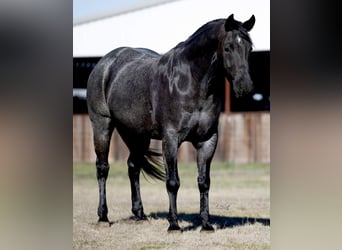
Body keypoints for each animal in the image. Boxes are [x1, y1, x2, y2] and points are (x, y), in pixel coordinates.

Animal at [87, 13, 255, 231]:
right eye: (228, 47)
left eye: (250, 48)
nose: (245, 87)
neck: (190, 82)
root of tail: (104, 63)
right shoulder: (171, 139)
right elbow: (173, 182)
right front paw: (174, 225)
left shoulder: (208, 140)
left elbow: (204, 182)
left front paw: (206, 224)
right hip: (102, 125)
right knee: (102, 168)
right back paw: (103, 217)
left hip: (137, 134)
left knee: (133, 166)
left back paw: (139, 214)